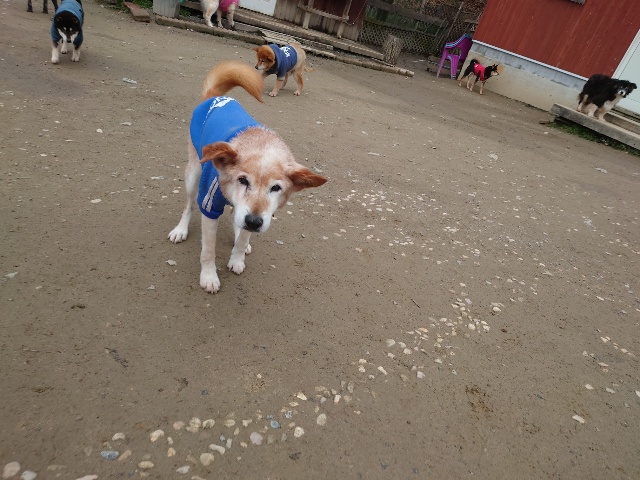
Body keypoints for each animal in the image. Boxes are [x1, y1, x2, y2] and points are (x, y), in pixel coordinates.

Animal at [168, 61, 327, 293]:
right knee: (188, 205)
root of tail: (215, 96)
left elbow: (242, 240)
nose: (253, 222)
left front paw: (237, 257)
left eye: (276, 188)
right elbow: (208, 251)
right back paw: (180, 229)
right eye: (242, 180)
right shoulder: (210, 206)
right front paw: (209, 276)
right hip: (193, 174)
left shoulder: (253, 213)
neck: (261, 145)